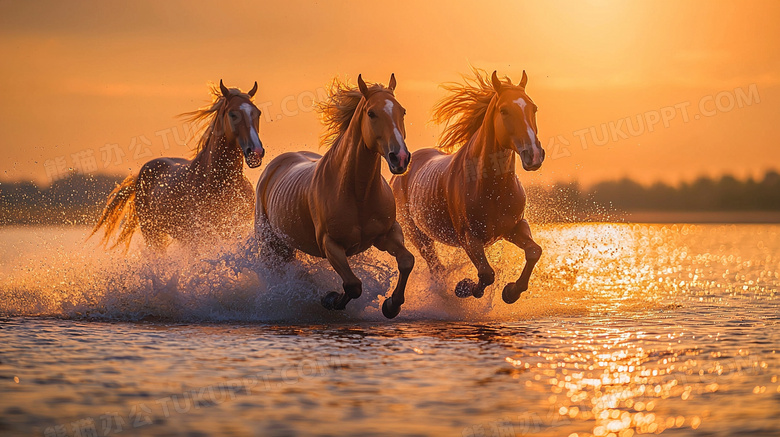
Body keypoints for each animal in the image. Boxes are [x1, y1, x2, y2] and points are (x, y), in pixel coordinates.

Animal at [254, 74, 414, 316]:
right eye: (371, 113)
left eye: (402, 111)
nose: (400, 157)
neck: (357, 194)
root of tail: (274, 166)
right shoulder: (330, 244)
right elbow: (353, 285)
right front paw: (330, 299)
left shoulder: (388, 234)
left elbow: (406, 261)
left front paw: (391, 305)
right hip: (272, 245)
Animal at [394, 69, 544, 304]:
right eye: (504, 110)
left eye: (533, 108)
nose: (534, 155)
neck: (492, 188)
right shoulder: (469, 238)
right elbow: (486, 273)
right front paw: (464, 287)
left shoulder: (514, 227)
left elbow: (534, 252)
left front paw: (511, 292)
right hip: (418, 235)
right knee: (436, 268)